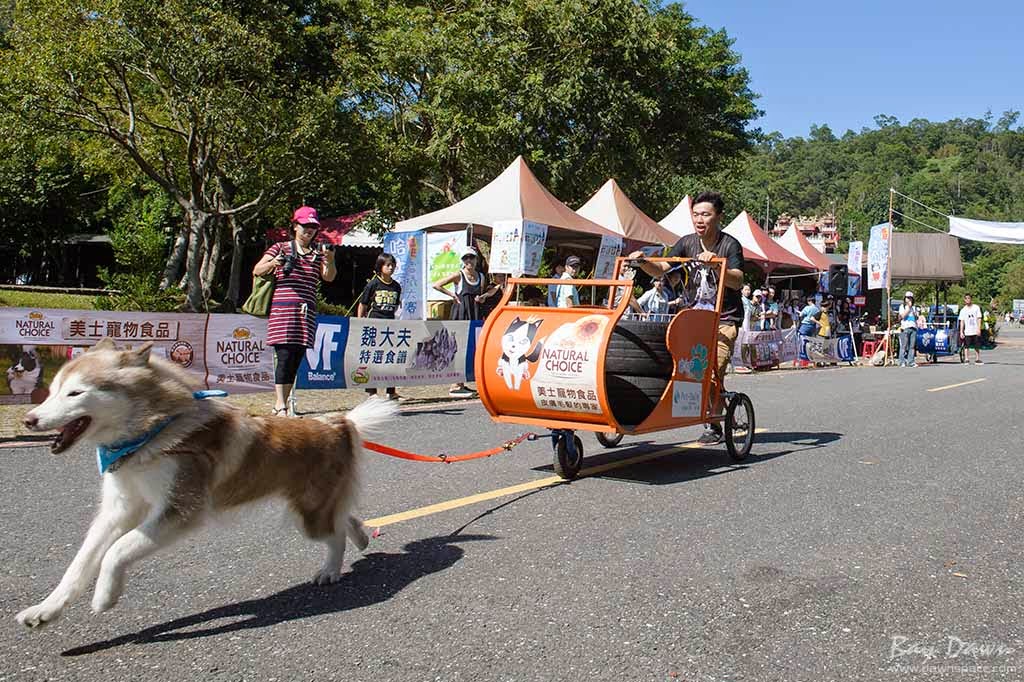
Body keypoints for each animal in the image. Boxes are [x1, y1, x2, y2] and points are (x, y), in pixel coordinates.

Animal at [14, 337, 395, 630]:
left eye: (75, 393)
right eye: (52, 391)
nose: (28, 419)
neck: (152, 433)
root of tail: (339, 422)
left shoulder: (180, 508)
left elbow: (116, 550)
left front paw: (105, 597)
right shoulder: (119, 508)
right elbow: (81, 563)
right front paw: (45, 610)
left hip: (309, 514)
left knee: (334, 534)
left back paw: (330, 570)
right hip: (314, 504)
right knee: (345, 516)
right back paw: (362, 537)